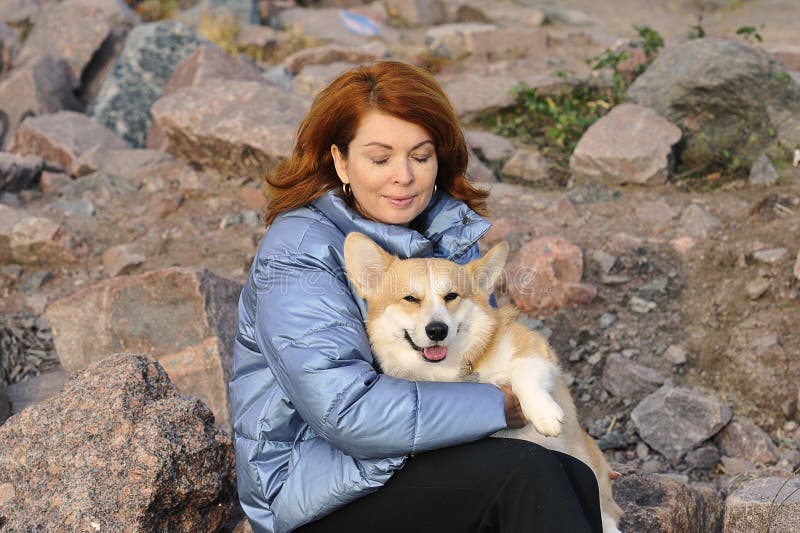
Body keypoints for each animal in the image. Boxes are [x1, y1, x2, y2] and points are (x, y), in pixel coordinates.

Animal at [344, 233, 624, 532]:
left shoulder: (533, 348)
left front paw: (544, 414)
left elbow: (524, 374)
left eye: (451, 296)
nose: (437, 330)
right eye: (410, 298)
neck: (449, 369)